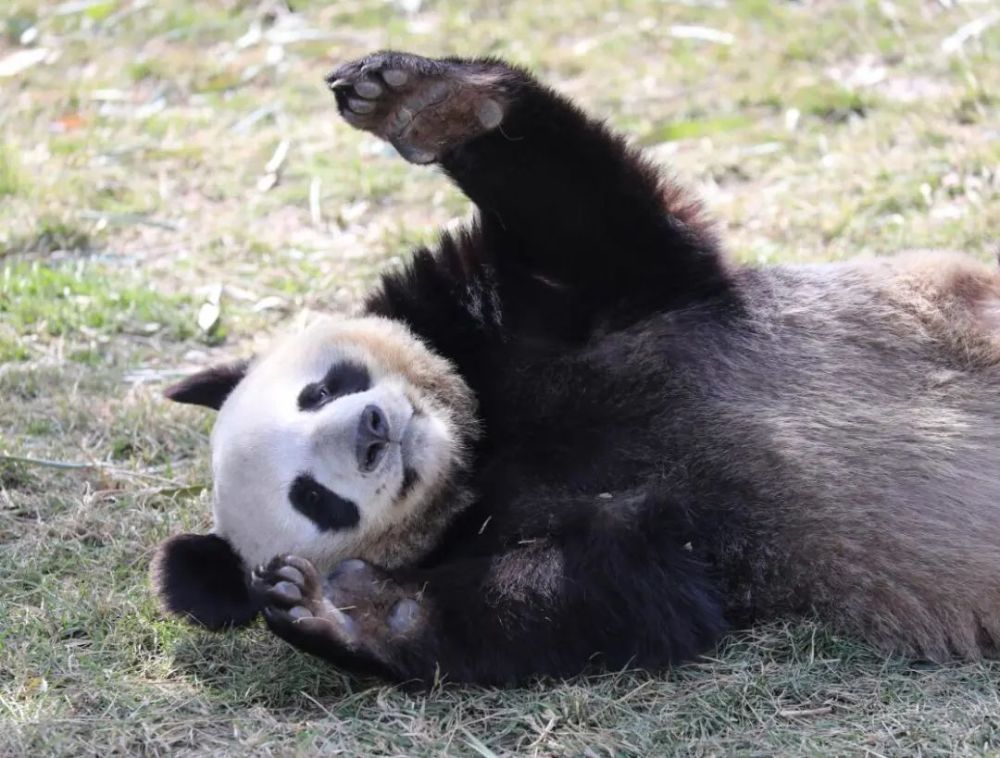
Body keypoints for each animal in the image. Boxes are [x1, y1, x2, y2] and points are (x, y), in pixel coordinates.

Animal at [152, 50, 1000, 684]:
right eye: (315, 499)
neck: (488, 436)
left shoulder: (557, 301)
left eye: (324, 387)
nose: (371, 431)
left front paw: (424, 101)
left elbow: (592, 215)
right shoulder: (647, 531)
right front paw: (347, 613)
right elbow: (606, 596)